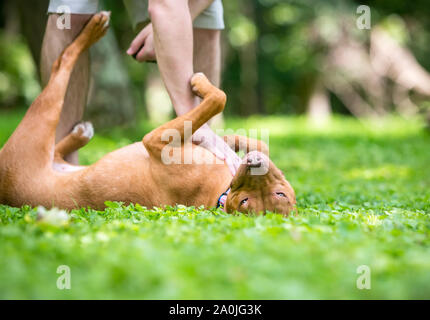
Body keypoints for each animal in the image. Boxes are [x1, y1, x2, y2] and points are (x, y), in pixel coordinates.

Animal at [0, 11, 296, 215]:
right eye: (281, 193)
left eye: (246, 202)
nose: (254, 165)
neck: (219, 194)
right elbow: (252, 140)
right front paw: (231, 142)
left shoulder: (153, 140)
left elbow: (218, 99)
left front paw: (200, 85)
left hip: (40, 122)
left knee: (61, 63)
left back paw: (93, 32)